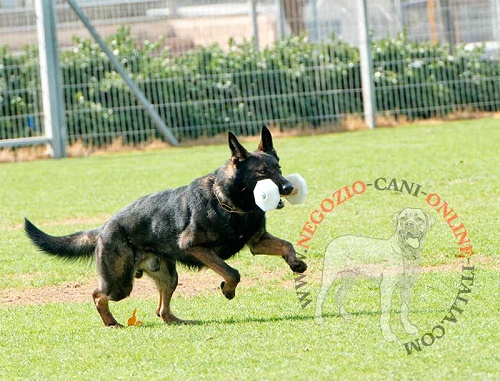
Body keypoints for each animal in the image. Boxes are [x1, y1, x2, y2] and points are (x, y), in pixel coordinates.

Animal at [25, 126, 306, 326]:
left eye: (278, 168)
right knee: (98, 294)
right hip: (120, 284)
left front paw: (295, 263)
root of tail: (103, 228)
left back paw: (181, 321)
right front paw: (227, 289)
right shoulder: (195, 247)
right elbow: (232, 272)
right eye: (262, 173)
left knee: (162, 310)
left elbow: (286, 244)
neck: (229, 202)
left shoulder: (257, 242)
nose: (288, 187)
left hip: (169, 277)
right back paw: (111, 322)